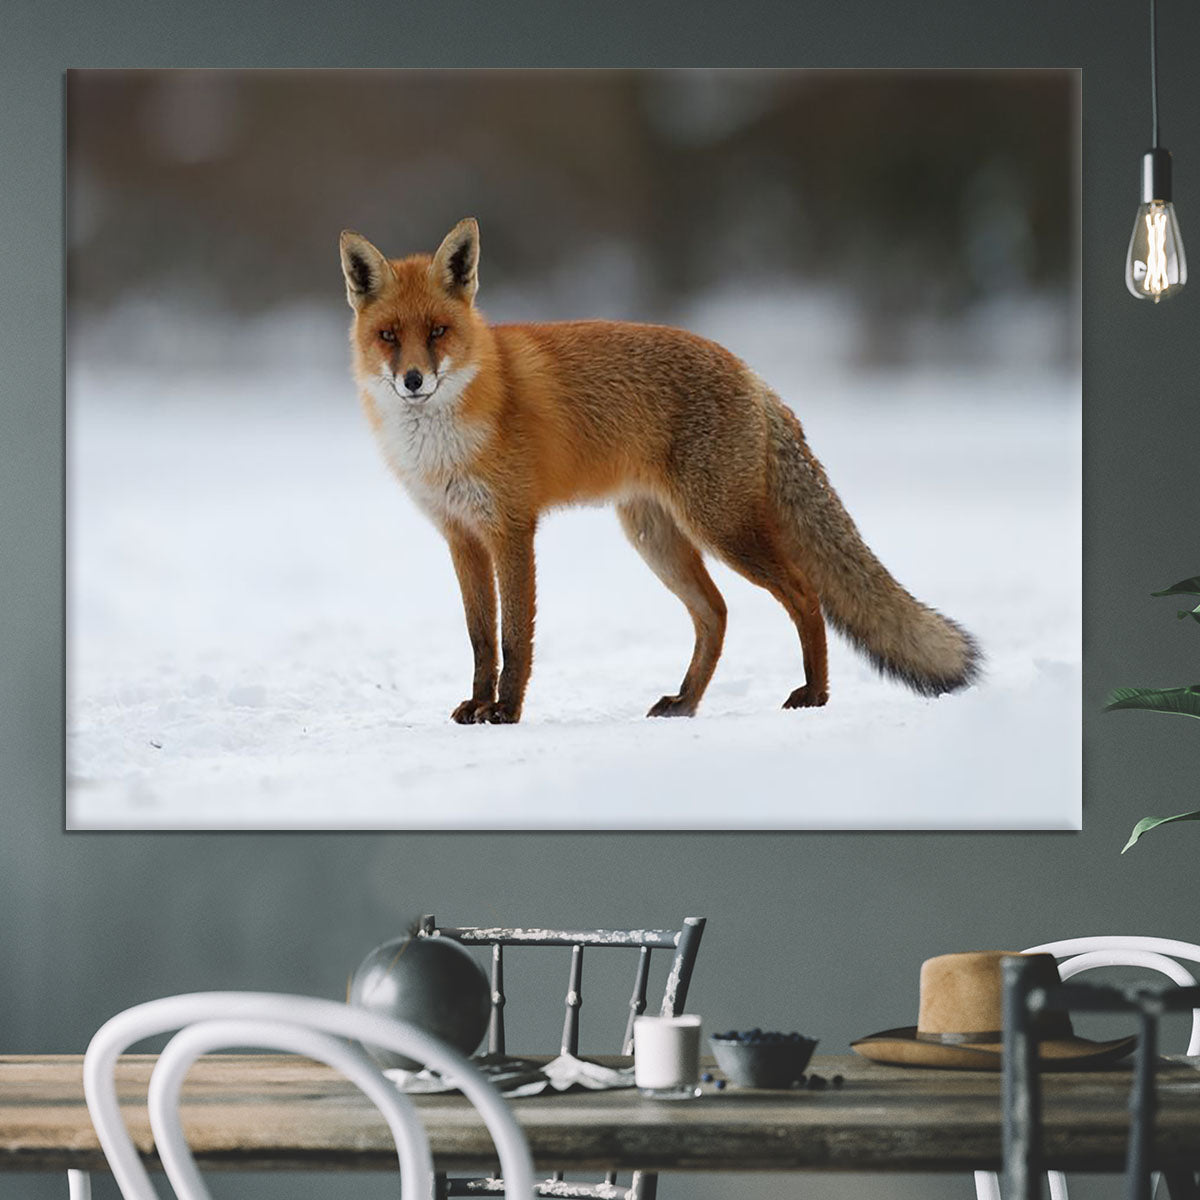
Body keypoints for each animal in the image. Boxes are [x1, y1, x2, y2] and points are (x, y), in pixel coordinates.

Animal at [339, 217, 980, 725]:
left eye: (438, 332)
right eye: (389, 336)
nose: (414, 380)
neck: (442, 443)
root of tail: (753, 376)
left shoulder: (512, 529)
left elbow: (516, 638)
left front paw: (506, 712)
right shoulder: (461, 535)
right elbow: (481, 639)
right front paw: (477, 705)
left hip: (722, 528)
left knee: (803, 593)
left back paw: (815, 694)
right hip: (656, 536)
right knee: (716, 614)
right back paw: (686, 702)